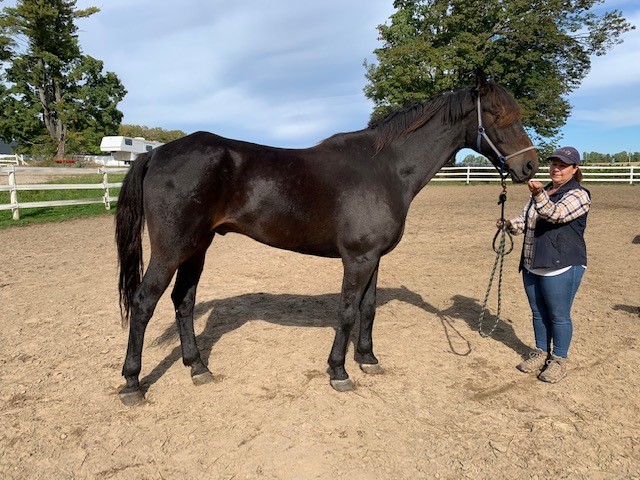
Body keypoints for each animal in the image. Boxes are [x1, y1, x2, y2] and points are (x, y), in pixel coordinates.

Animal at [115, 74, 538, 405]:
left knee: (183, 302)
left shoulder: (374, 258)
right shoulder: (358, 258)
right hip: (172, 249)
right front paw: (339, 371)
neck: (385, 169)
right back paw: (133, 383)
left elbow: (368, 308)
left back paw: (198, 367)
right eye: (498, 115)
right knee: (144, 302)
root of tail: (157, 154)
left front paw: (367, 359)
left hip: (197, 248)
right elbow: (347, 311)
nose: (530, 165)